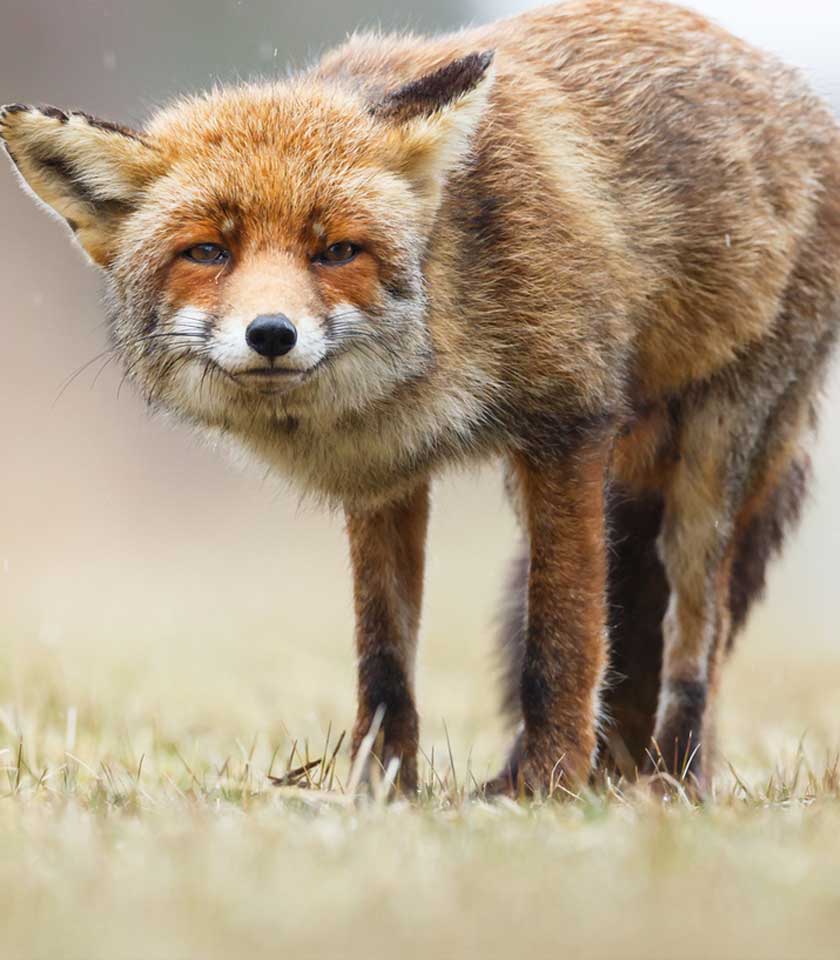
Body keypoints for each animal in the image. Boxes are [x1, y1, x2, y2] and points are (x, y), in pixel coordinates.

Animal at [1, 0, 840, 796]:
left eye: (337, 250)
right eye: (208, 251)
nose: (271, 334)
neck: (443, 324)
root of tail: (794, 92)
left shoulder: (569, 428)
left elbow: (563, 639)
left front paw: (544, 786)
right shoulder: (381, 476)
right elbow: (383, 663)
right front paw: (381, 790)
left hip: (710, 467)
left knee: (696, 639)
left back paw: (673, 781)